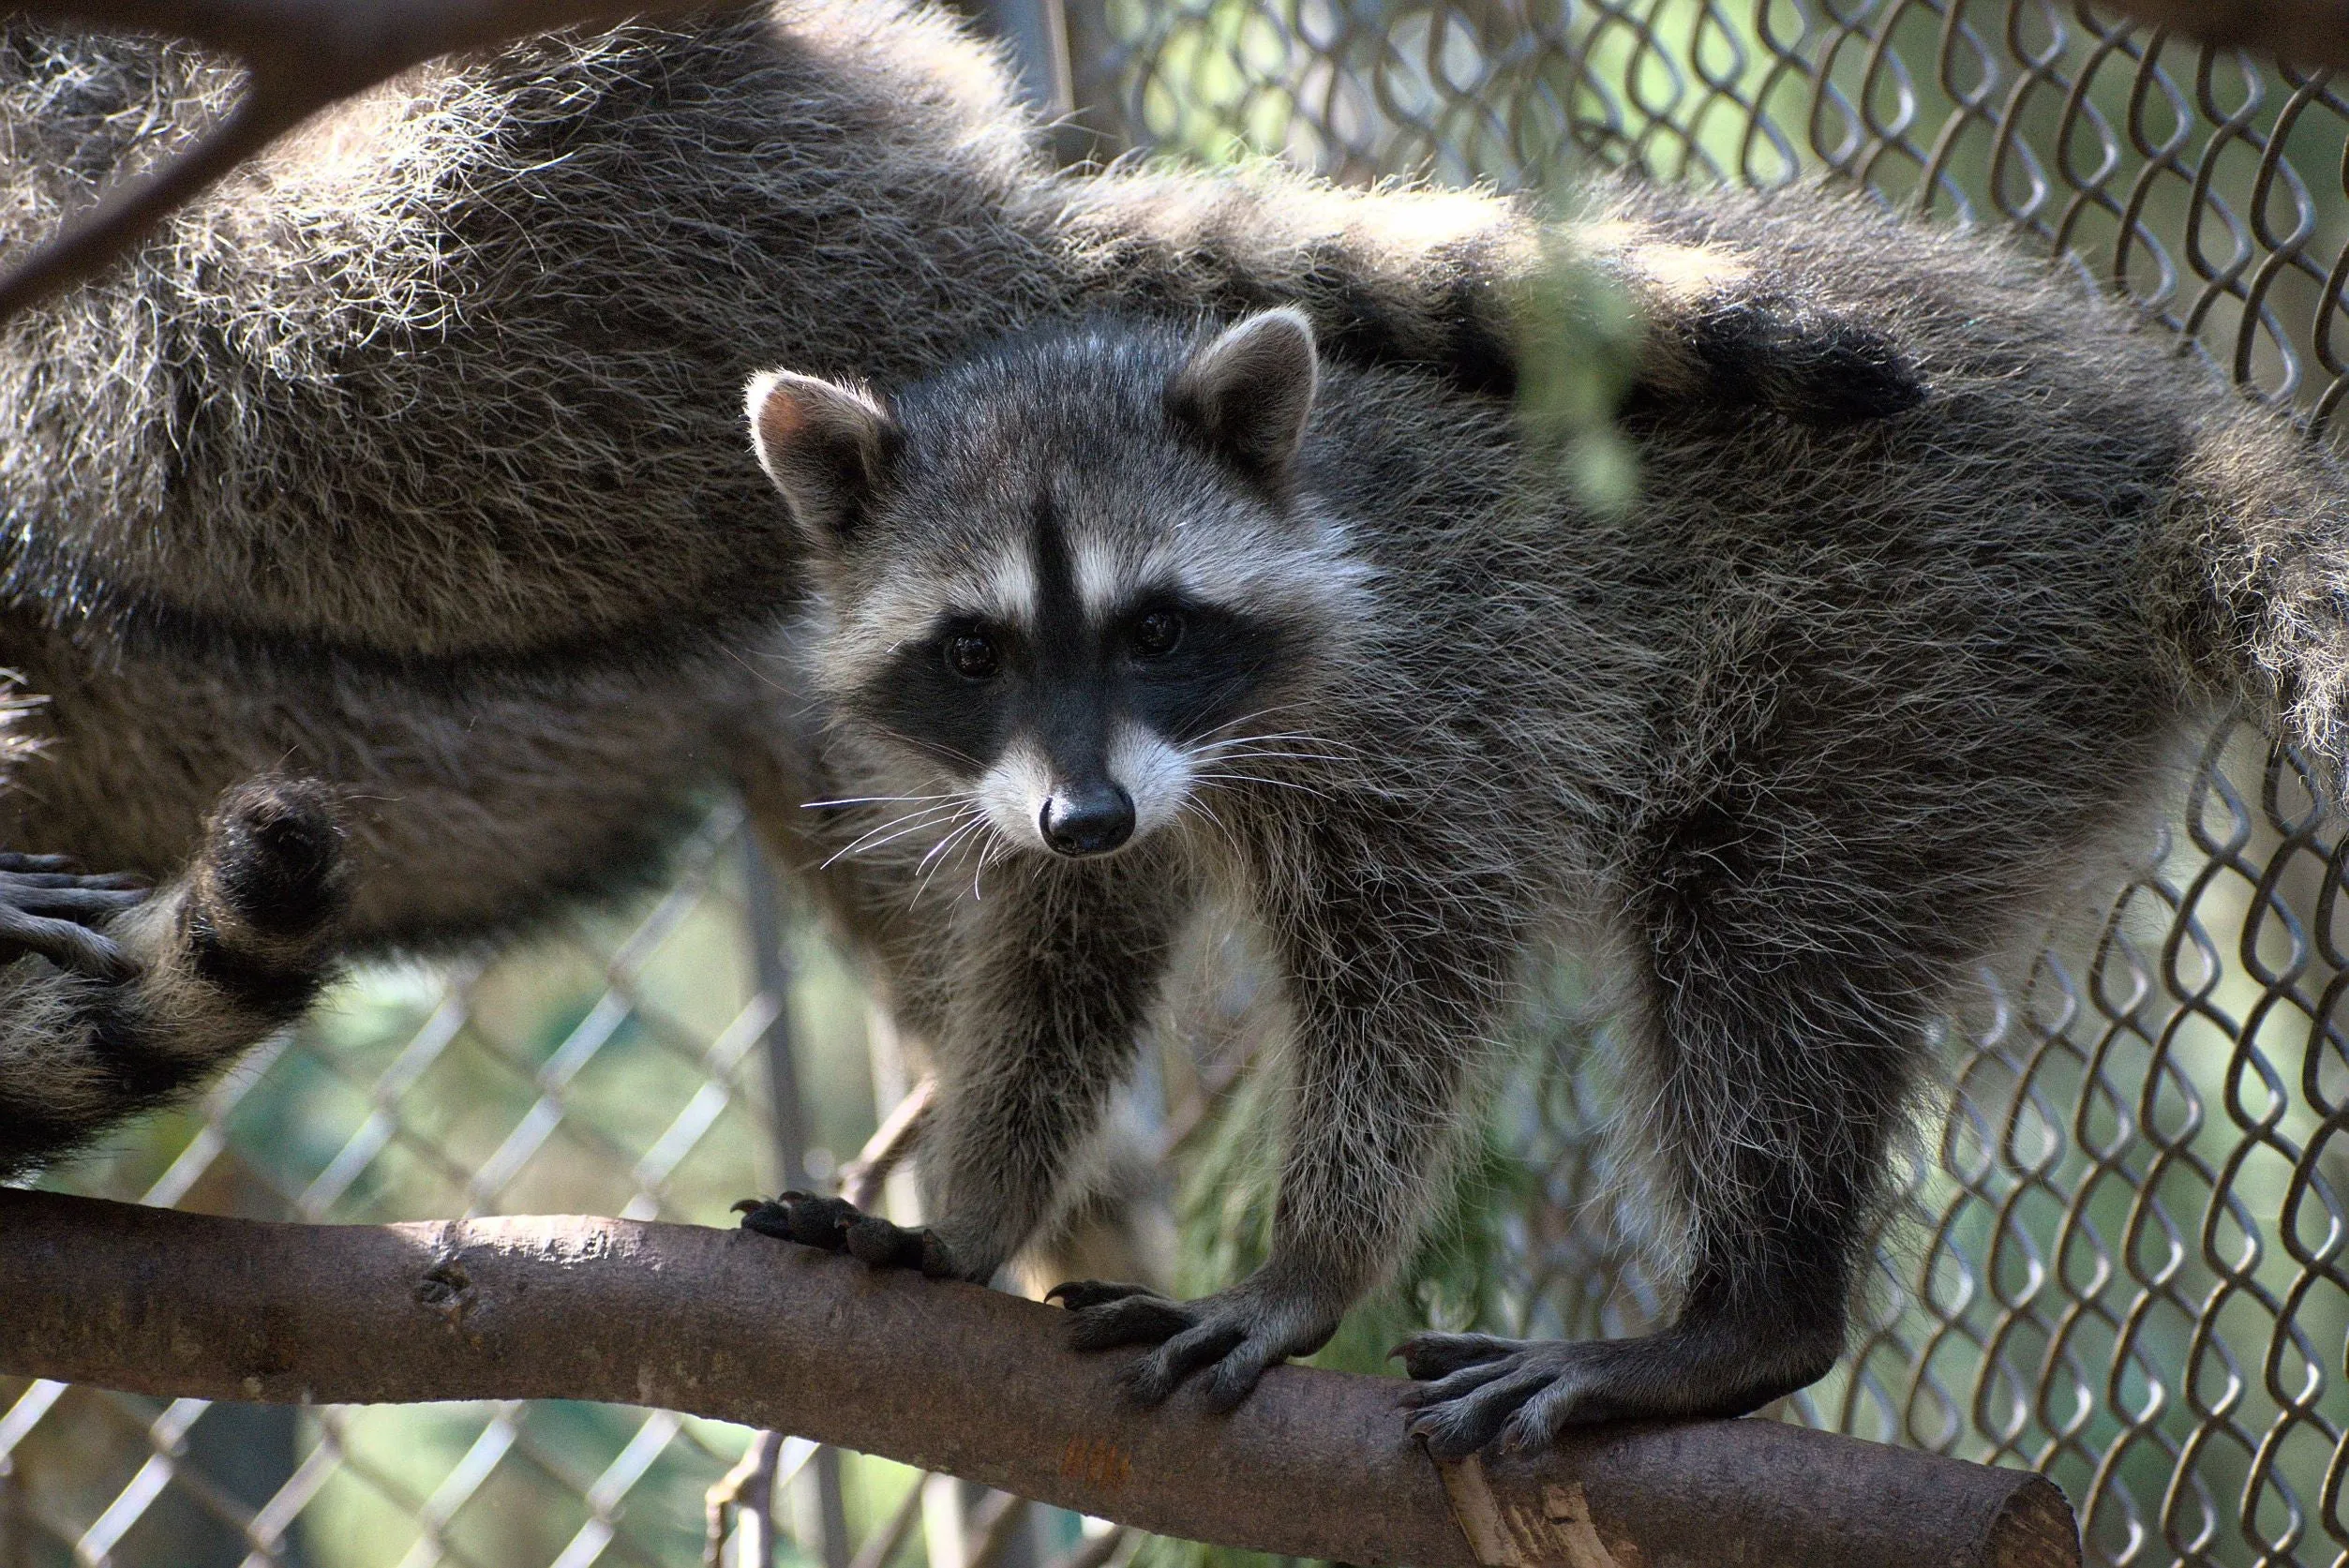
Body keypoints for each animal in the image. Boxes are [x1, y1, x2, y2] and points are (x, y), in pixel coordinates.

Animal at [741, 184, 2349, 1445]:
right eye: (972, 650)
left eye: (1154, 627)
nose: (1086, 813)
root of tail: (2154, 442)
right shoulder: (1049, 792)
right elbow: (1059, 967)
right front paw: (973, 1214)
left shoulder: (1444, 701)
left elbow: (1417, 968)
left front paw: (1312, 1262)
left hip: (1917, 640)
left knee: (1756, 941)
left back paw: (1751, 1311)